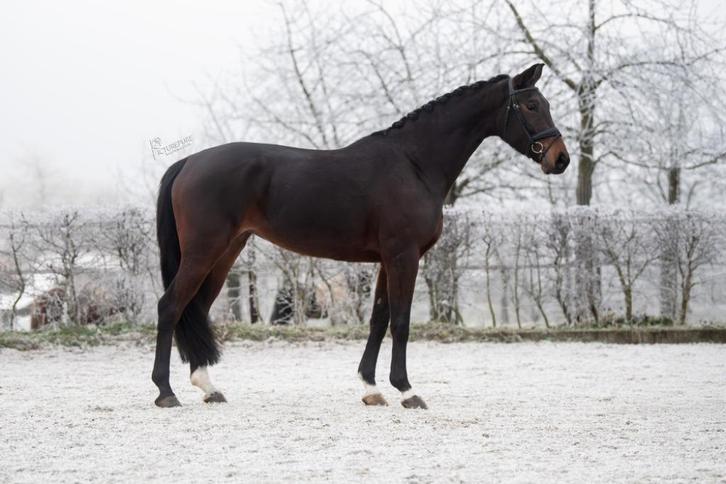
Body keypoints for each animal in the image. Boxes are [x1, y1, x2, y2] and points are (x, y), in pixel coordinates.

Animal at [151, 63, 570, 409]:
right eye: (532, 105)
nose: (560, 159)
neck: (414, 163)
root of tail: (188, 162)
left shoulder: (387, 259)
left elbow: (379, 319)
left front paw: (371, 388)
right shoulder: (404, 256)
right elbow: (400, 321)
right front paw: (407, 390)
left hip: (226, 252)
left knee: (196, 308)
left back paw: (208, 387)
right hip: (204, 251)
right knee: (170, 306)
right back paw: (166, 392)